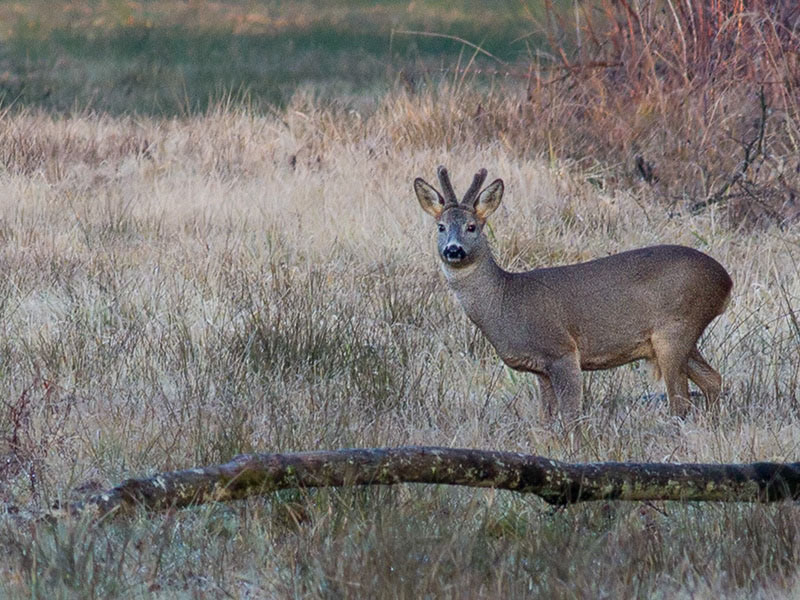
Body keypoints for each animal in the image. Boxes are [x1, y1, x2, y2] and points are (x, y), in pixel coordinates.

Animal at [416, 165, 736, 422]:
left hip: (676, 327)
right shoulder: (540, 369)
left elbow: (571, 416)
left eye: (472, 226)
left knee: (681, 401)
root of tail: (726, 281)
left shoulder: (561, 350)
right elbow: (545, 420)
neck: (505, 300)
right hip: (679, 337)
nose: (453, 249)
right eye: (441, 227)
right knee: (713, 380)